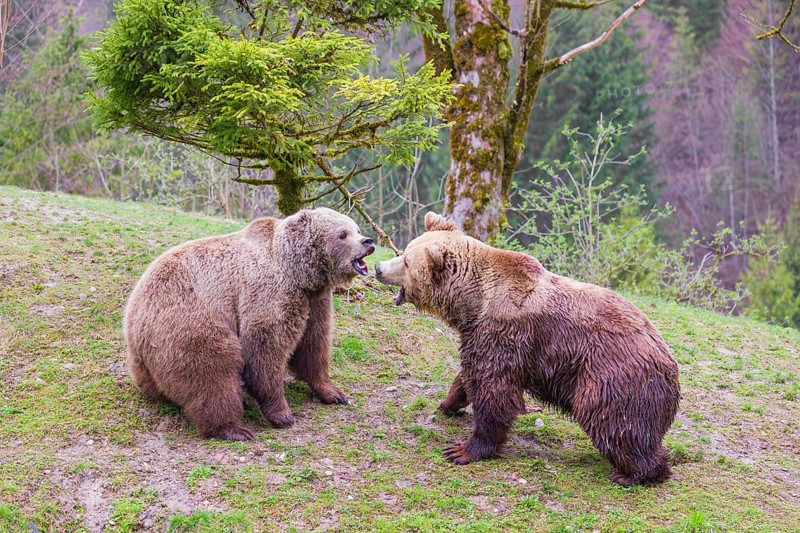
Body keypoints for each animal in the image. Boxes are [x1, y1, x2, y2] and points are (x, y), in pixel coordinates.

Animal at [123, 207, 375, 441]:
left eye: (356, 228)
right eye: (342, 234)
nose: (368, 241)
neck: (299, 272)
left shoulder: (315, 301)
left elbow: (312, 346)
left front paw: (334, 393)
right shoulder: (268, 294)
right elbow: (265, 353)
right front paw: (283, 414)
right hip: (186, 320)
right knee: (213, 371)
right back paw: (232, 429)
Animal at [375, 212, 680, 486]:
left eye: (405, 260)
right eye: (405, 250)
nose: (378, 267)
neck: (473, 303)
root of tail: (669, 362)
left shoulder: (504, 332)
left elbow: (494, 391)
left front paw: (463, 450)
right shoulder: (480, 337)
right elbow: (468, 373)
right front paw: (449, 402)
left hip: (613, 378)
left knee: (616, 425)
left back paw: (635, 474)